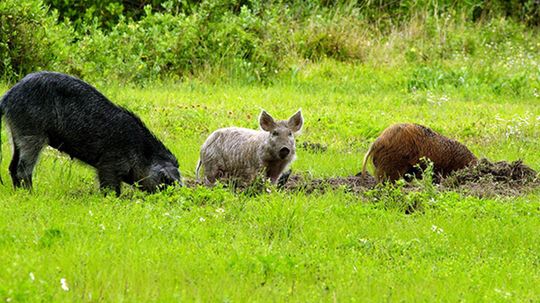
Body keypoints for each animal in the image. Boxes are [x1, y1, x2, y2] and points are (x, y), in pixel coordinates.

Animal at [0, 71, 181, 195]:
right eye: (166, 181)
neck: (141, 153)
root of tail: (7, 97)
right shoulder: (109, 163)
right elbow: (109, 186)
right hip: (31, 133)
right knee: (23, 168)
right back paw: (31, 194)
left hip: (15, 133)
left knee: (12, 166)